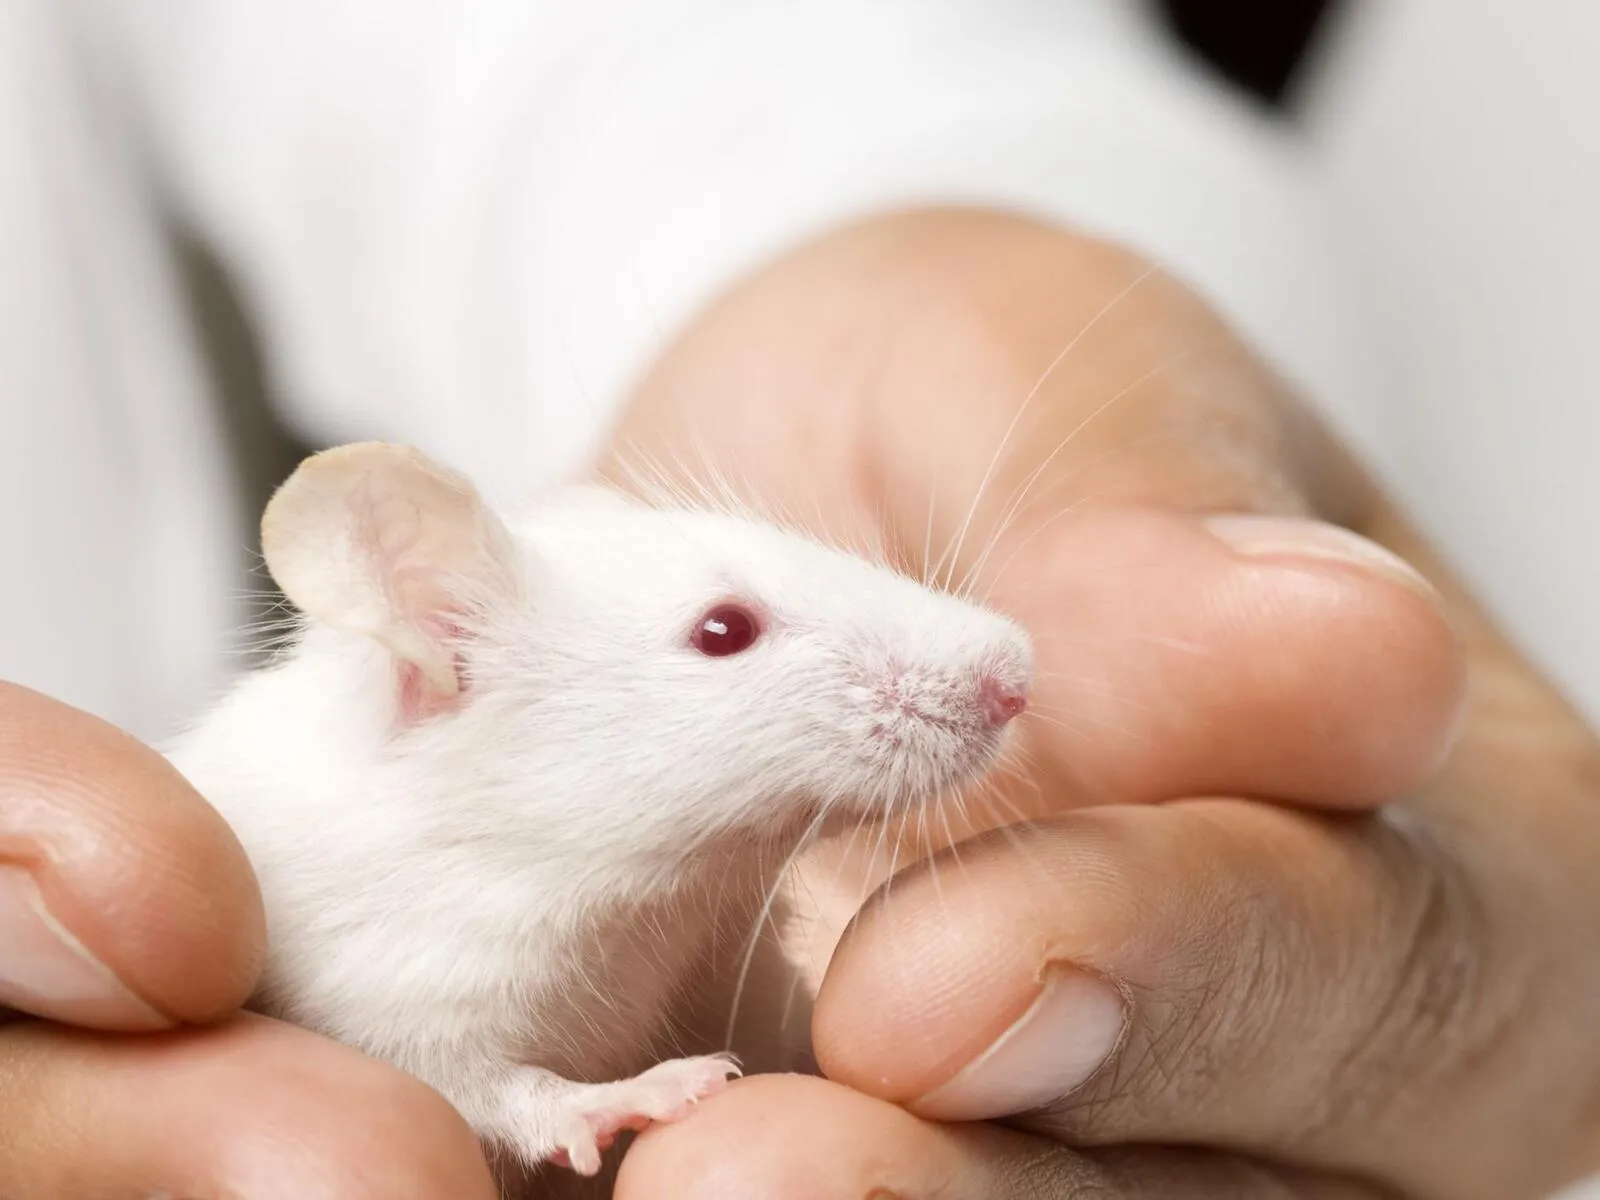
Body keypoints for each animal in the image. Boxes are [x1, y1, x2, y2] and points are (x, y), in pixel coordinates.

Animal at [163, 441, 1034, 1185]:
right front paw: (635, 1094)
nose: (1018, 675)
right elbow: (478, 1085)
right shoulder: (400, 977)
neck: (646, 905)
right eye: (724, 629)